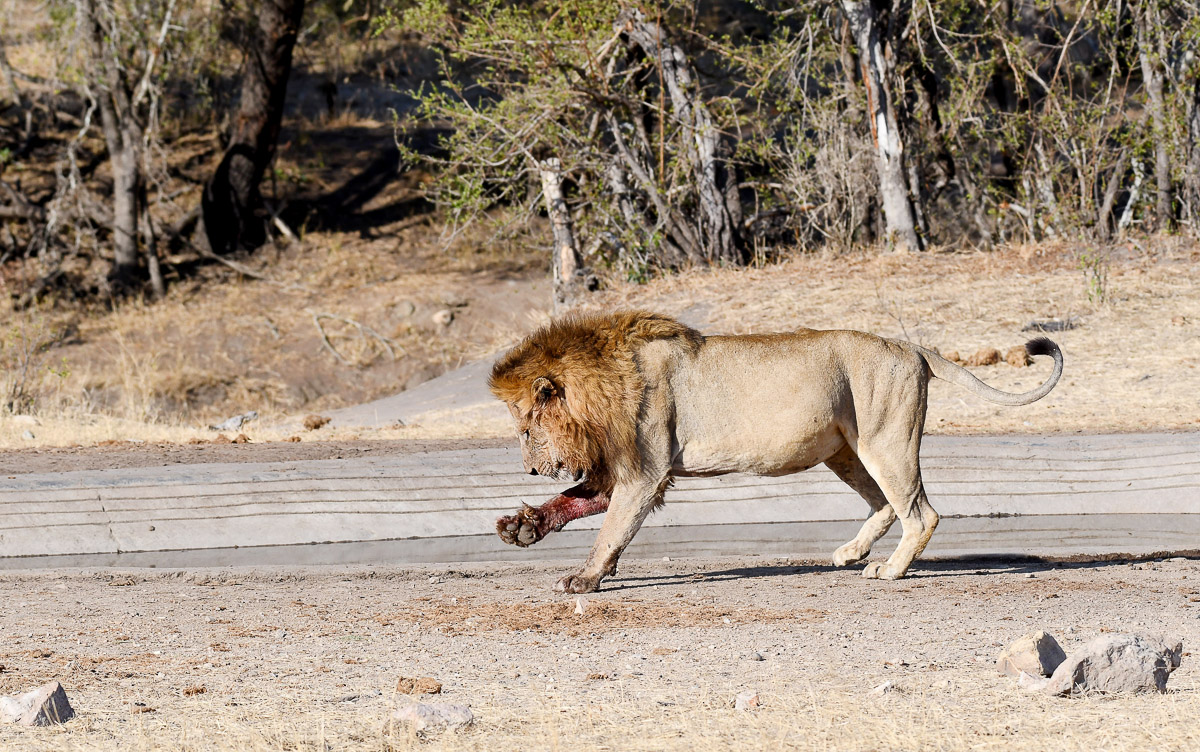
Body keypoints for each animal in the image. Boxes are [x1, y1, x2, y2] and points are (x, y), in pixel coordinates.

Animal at [489, 311, 1063, 593]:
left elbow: (611, 531)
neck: (601, 382)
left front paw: (585, 579)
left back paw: (890, 572)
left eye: (525, 429)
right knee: (883, 503)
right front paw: (522, 527)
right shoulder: (633, 472)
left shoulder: (646, 470)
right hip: (847, 448)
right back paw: (851, 554)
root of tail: (912, 347)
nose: (530, 468)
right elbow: (577, 499)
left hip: (886, 439)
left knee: (921, 513)